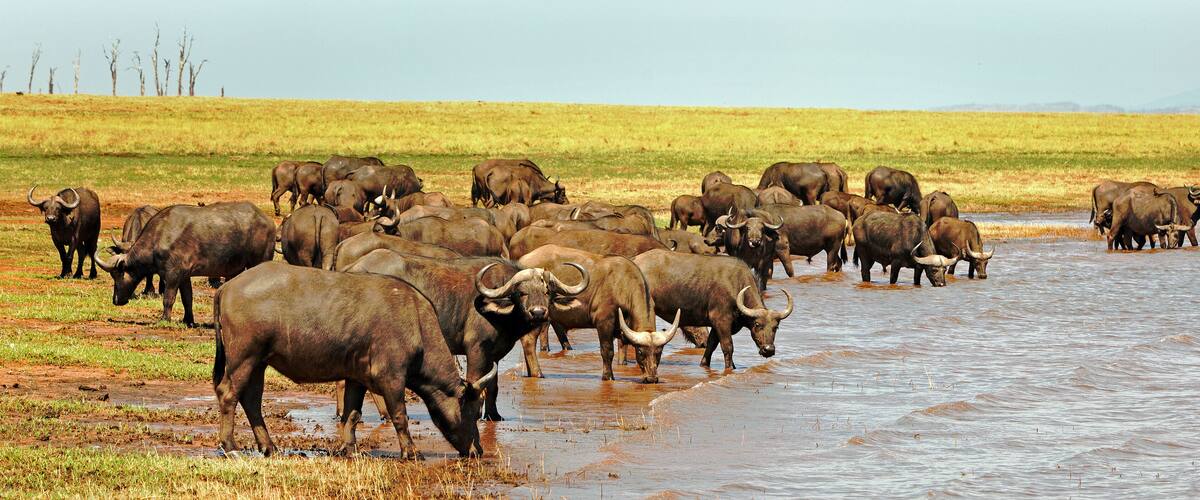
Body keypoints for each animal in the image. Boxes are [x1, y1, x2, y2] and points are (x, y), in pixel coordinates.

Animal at [95, 202, 275, 327]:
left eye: (117, 275)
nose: (116, 300)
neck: (159, 237)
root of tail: (268, 222)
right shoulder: (184, 276)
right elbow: (187, 298)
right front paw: (188, 320)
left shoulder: (173, 274)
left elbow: (168, 298)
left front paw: (164, 319)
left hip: (259, 261)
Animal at [213, 262, 493, 458]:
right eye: (473, 411)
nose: (477, 450)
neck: (416, 322)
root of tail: (227, 287)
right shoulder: (391, 378)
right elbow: (399, 415)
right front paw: (411, 451)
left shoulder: (356, 378)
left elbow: (352, 414)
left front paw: (350, 448)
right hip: (244, 358)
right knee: (228, 394)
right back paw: (231, 446)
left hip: (259, 362)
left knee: (251, 400)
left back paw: (269, 446)